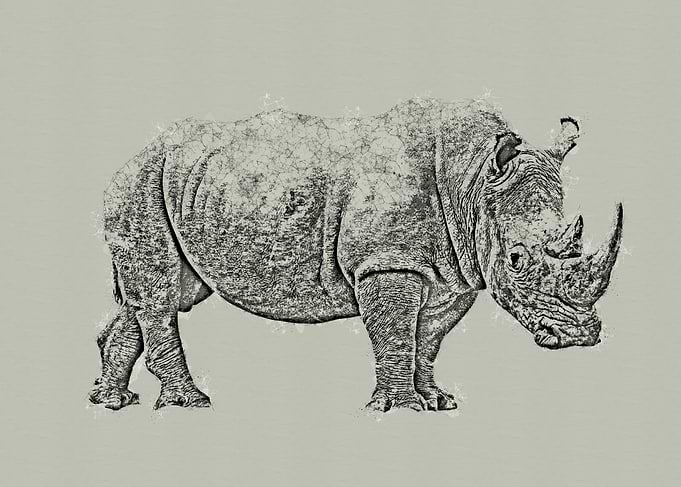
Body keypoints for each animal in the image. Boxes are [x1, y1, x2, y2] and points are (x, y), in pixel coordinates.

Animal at [90, 97, 623, 412]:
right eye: (516, 260)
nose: (580, 336)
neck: (473, 181)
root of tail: (132, 155)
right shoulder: (387, 261)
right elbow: (396, 334)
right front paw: (400, 410)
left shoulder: (453, 274)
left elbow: (427, 339)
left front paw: (438, 401)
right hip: (140, 185)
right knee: (161, 297)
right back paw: (192, 403)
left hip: (176, 184)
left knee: (160, 295)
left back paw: (112, 402)